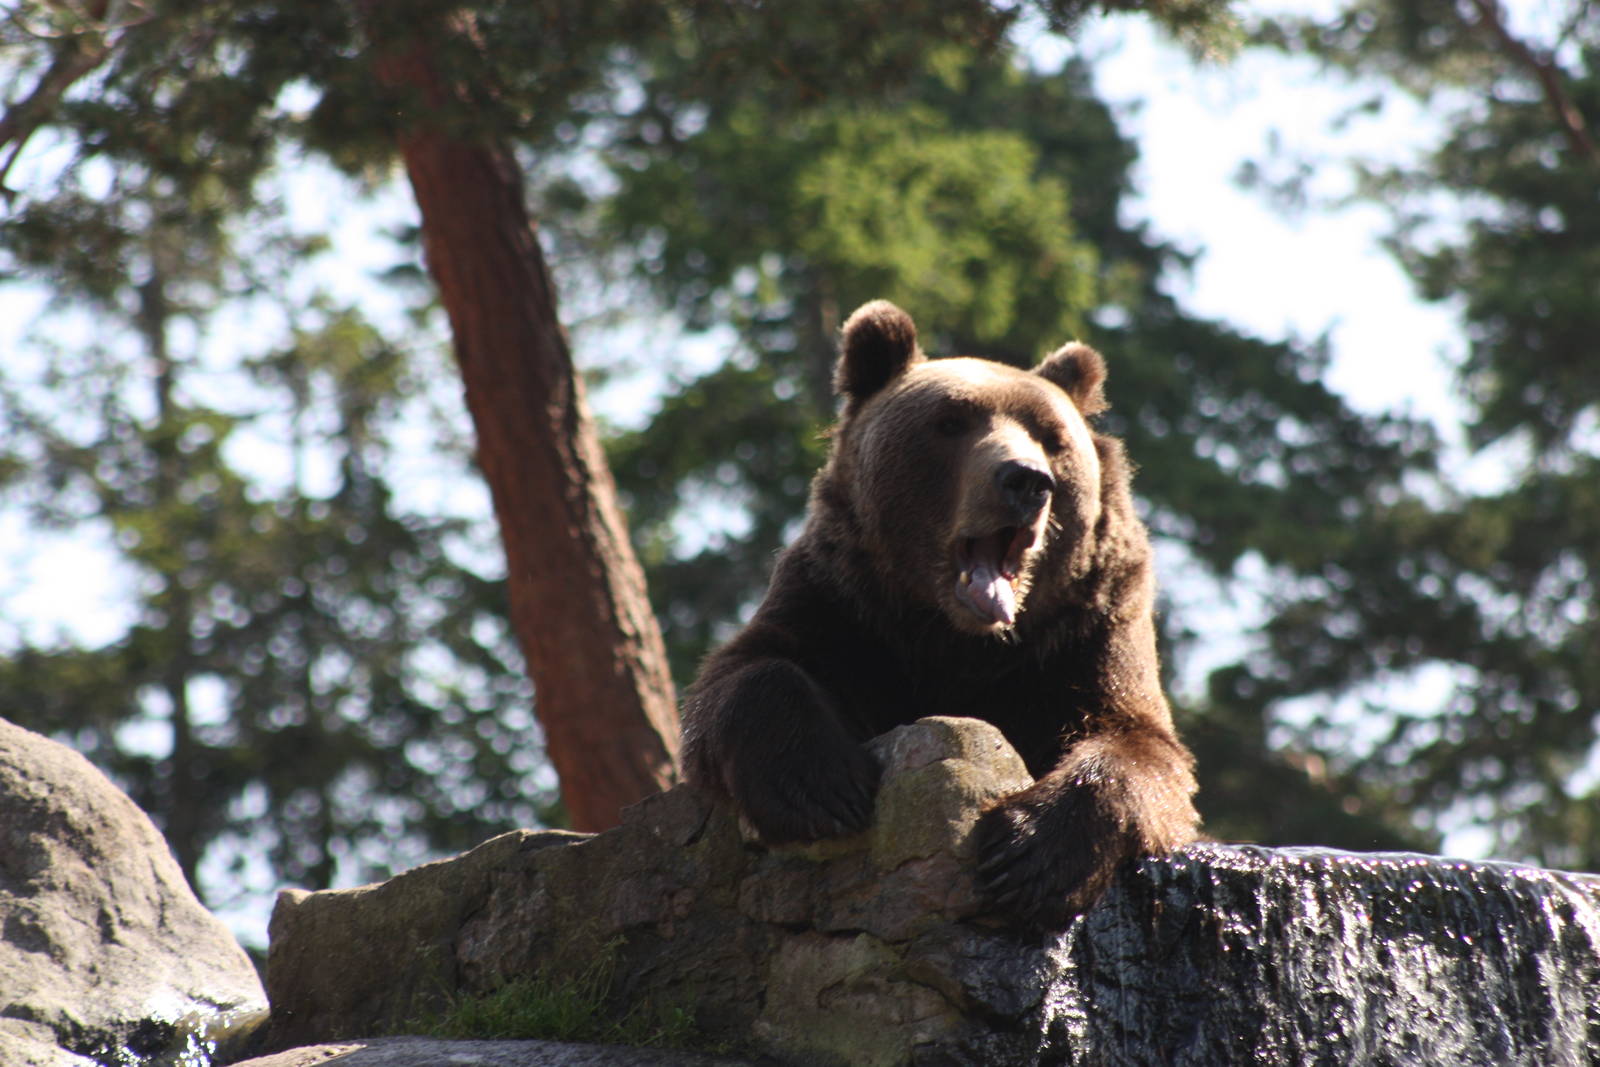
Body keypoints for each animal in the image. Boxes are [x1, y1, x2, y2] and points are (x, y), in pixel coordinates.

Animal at [681, 299, 1200, 928]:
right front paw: (822, 787)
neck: (958, 638)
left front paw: (1027, 854)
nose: (1027, 480)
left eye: (1052, 438)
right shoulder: (844, 606)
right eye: (951, 422)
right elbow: (745, 672)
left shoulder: (1084, 629)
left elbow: (1138, 740)